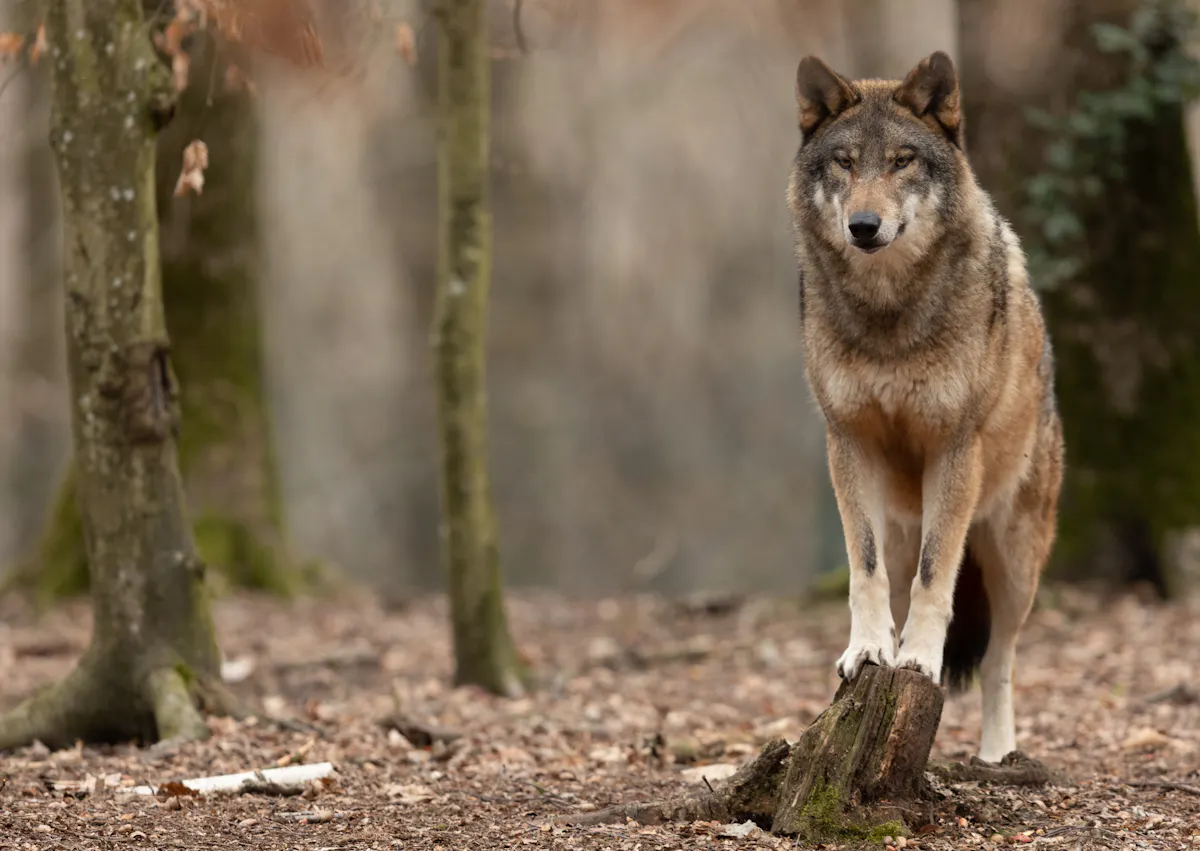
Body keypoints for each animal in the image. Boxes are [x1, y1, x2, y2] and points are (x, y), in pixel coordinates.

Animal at [786, 51, 1064, 763]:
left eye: (903, 161)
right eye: (845, 162)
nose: (863, 226)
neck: (889, 315)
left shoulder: (953, 448)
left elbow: (937, 581)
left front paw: (917, 662)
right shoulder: (847, 442)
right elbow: (865, 571)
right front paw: (868, 652)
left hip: (1013, 562)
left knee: (999, 662)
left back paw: (997, 756)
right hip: (904, 524)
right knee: (899, 578)